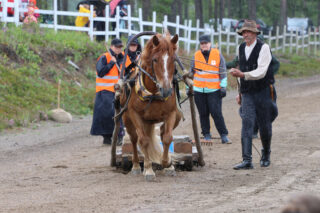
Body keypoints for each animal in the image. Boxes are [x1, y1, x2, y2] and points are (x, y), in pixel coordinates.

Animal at [120, 32, 181, 181]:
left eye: (173, 60)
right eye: (155, 60)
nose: (166, 90)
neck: (153, 93)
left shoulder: (171, 113)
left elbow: (167, 137)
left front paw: (167, 162)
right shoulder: (134, 114)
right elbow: (143, 140)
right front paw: (148, 169)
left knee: (163, 132)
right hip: (127, 120)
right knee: (134, 139)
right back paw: (136, 166)